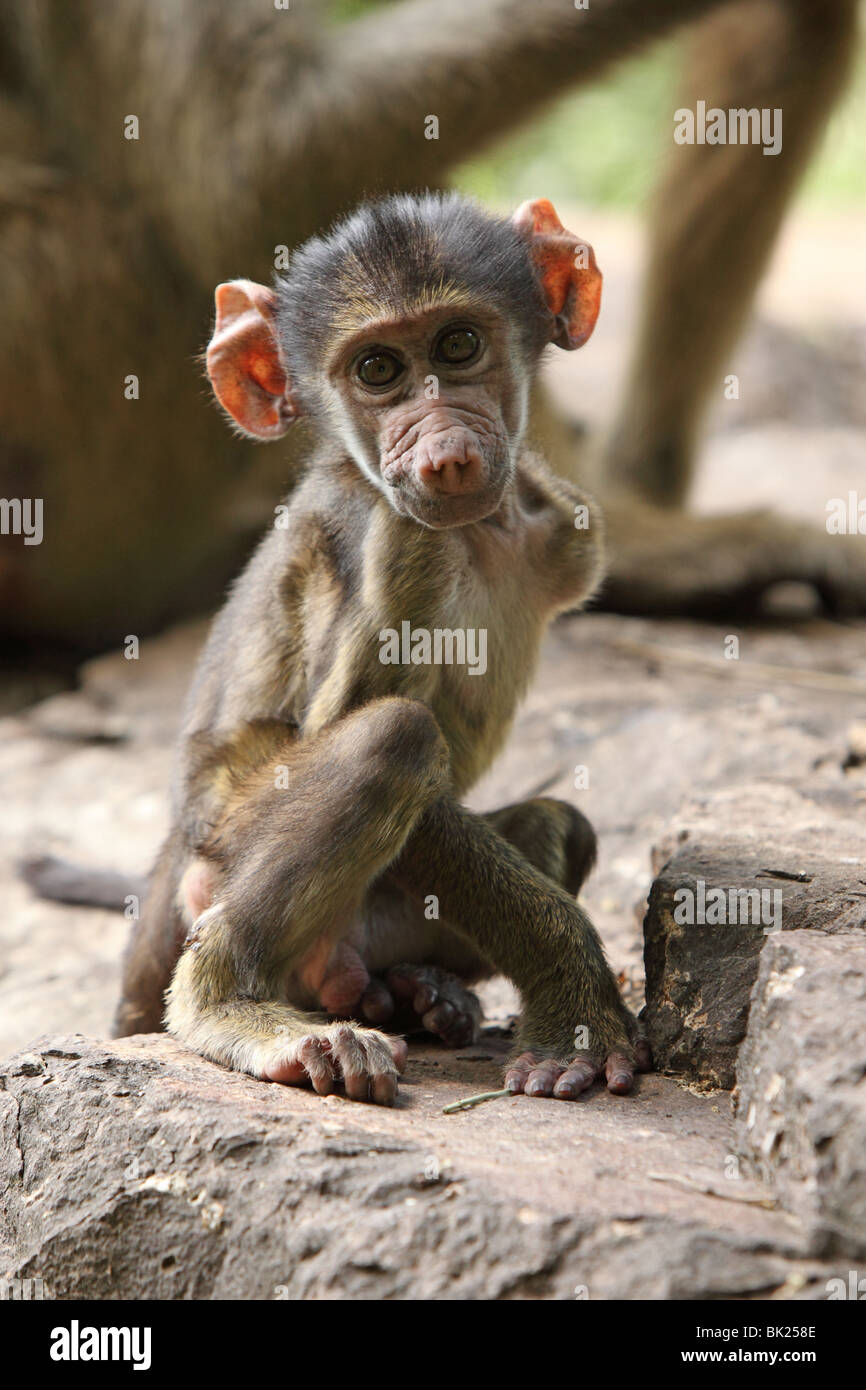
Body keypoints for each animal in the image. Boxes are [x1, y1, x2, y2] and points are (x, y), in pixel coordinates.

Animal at [112, 191, 651, 1106]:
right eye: (377, 371)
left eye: (459, 346)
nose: (443, 446)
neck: (482, 534)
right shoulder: (402, 543)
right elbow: (371, 725)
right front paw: (576, 1004)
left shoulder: (569, 524)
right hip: (217, 860)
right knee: (392, 739)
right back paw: (239, 1009)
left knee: (561, 826)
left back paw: (416, 995)